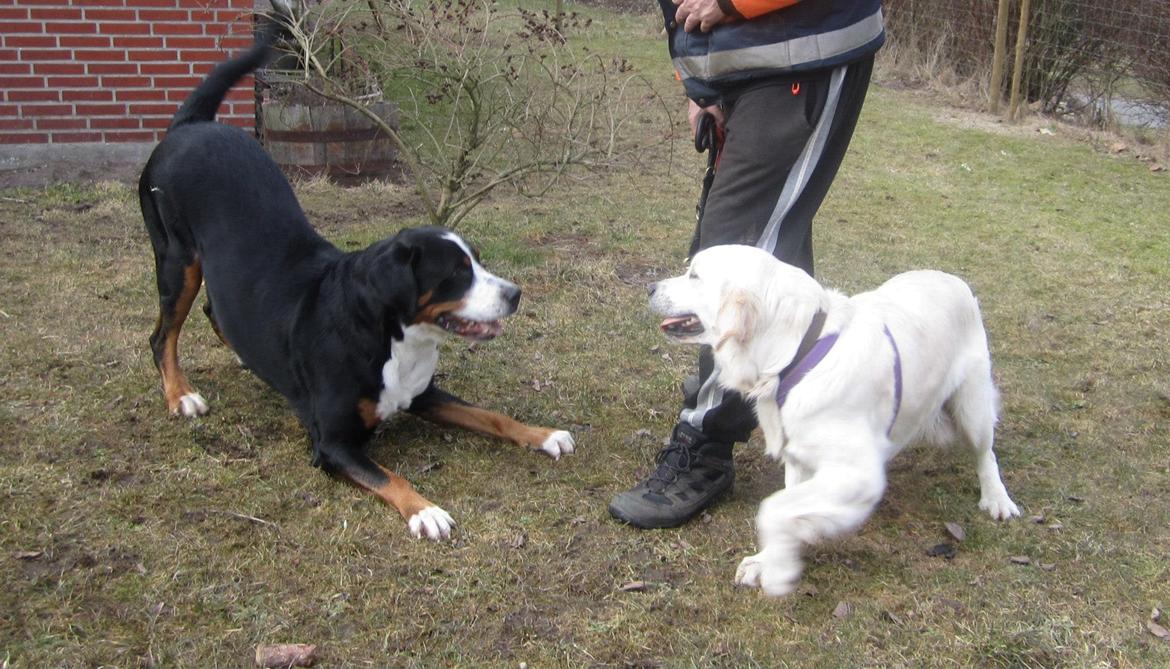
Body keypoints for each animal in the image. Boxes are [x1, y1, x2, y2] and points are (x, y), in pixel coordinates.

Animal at [139, 32, 573, 542]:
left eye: (479, 260)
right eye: (455, 273)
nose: (515, 294)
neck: (391, 338)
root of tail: (190, 127)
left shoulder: (423, 395)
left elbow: (492, 415)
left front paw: (543, 434)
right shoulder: (333, 443)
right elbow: (391, 477)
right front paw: (426, 510)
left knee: (216, 312)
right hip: (177, 261)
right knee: (162, 336)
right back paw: (180, 395)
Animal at [655, 245, 1020, 596]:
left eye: (694, 275)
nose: (650, 288)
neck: (798, 353)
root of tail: (954, 280)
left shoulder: (860, 473)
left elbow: (774, 508)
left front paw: (778, 570)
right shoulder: (799, 459)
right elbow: (788, 505)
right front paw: (769, 559)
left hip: (972, 407)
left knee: (985, 454)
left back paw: (997, 500)